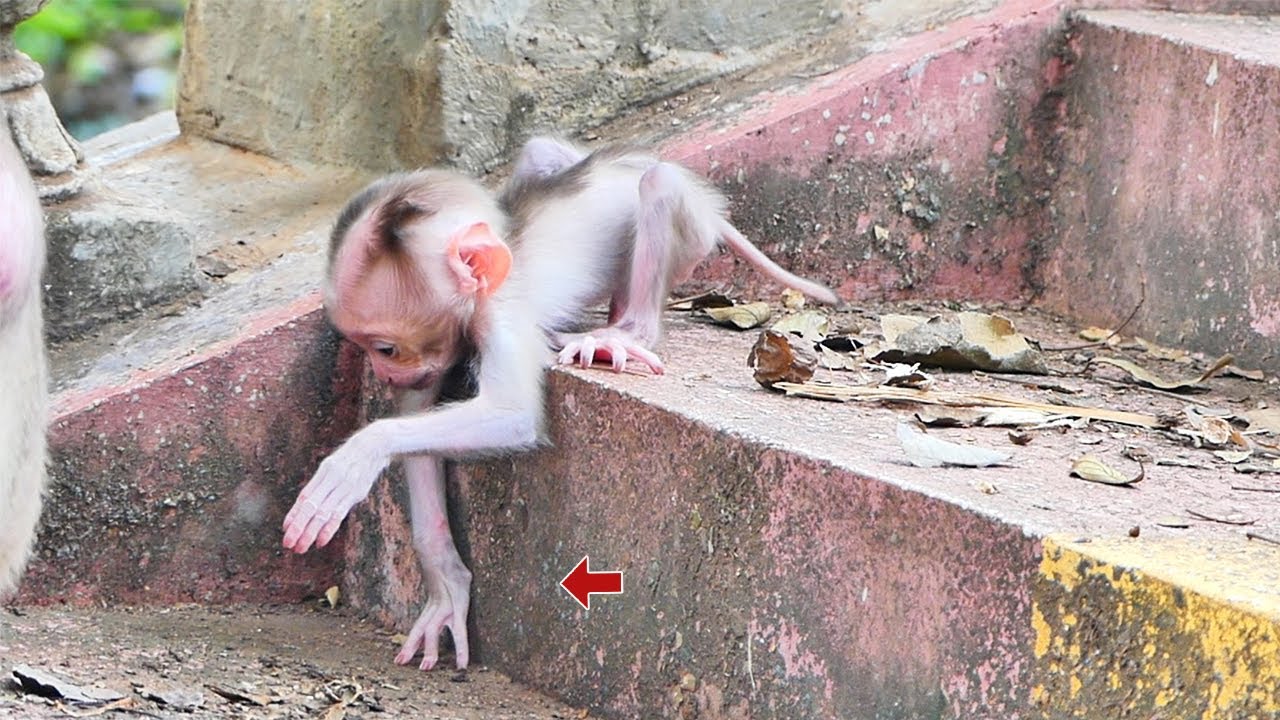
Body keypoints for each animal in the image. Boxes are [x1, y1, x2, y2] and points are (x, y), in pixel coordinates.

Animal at [282, 137, 838, 670]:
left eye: (384, 348)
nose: (381, 374)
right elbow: (418, 413)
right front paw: (445, 581)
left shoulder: (499, 316)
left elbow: (511, 415)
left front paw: (356, 456)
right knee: (544, 153)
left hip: (692, 227)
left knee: (657, 185)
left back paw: (624, 331)